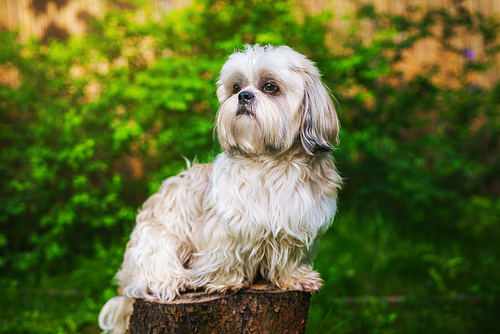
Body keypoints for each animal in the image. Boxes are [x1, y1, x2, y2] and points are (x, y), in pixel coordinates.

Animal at [98, 45, 340, 334]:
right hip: (157, 239)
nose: (244, 96)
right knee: (151, 273)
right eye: (236, 87)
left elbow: (289, 258)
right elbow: (226, 254)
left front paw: (295, 278)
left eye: (270, 86)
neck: (269, 163)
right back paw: (176, 281)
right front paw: (226, 282)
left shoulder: (298, 223)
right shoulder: (225, 227)